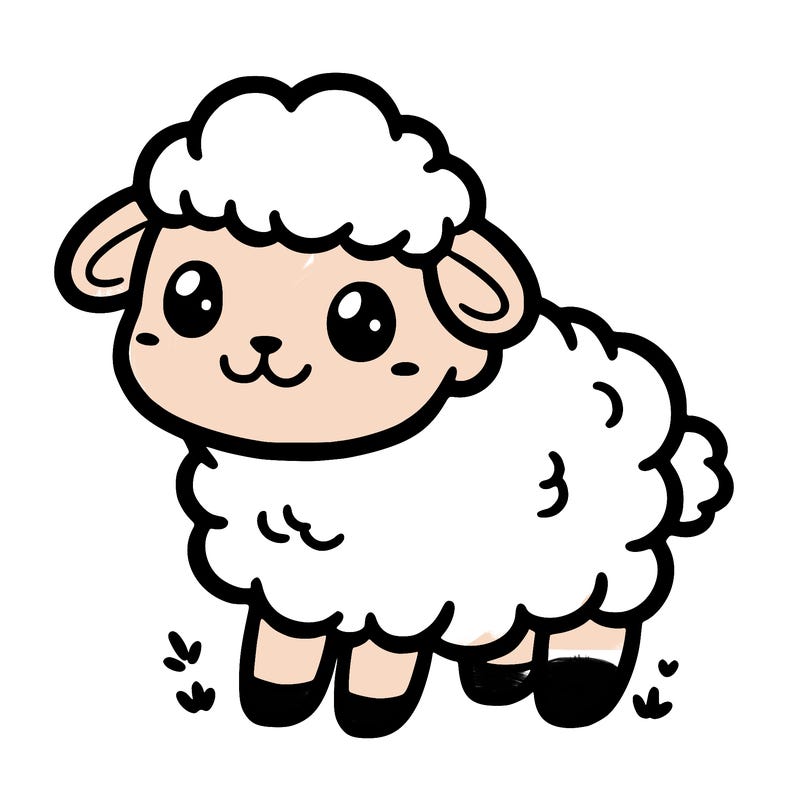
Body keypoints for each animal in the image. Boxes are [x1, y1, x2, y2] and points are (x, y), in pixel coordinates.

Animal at [55, 74, 732, 738]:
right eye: (190, 296)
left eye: (364, 321)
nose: (263, 347)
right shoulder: (291, 576)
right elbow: (286, 644)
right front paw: (276, 702)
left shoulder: (396, 589)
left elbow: (382, 660)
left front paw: (369, 713)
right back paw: (497, 682)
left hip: (603, 560)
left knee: (596, 623)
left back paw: (576, 693)